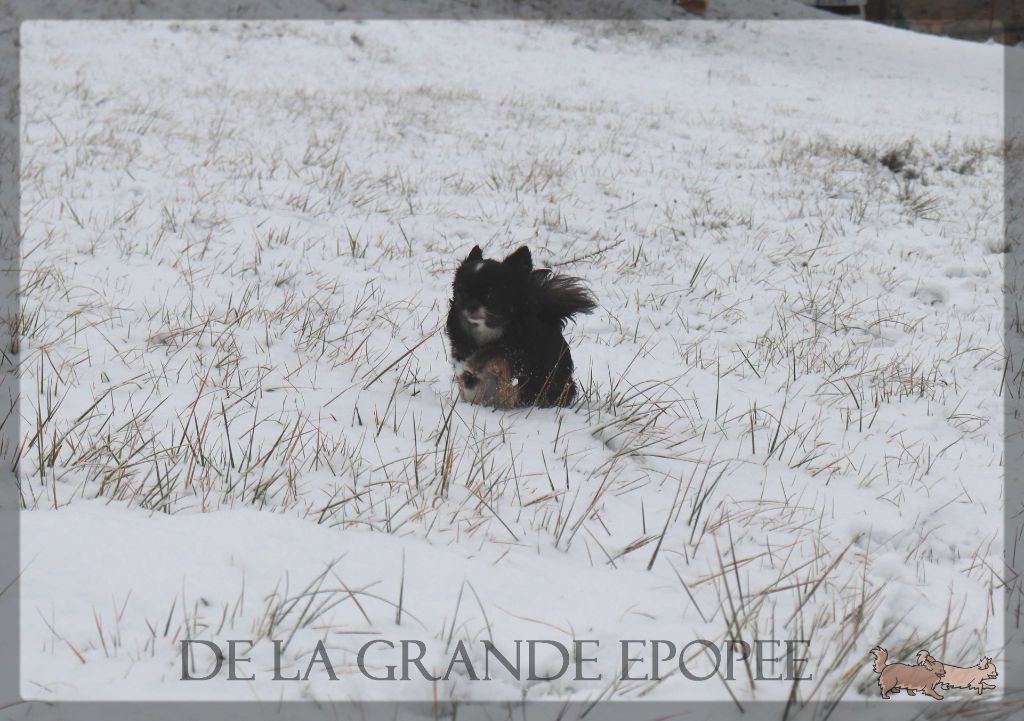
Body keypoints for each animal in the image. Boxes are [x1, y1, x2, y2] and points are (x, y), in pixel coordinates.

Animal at [444, 244, 598, 407]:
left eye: (490, 294)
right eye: (463, 292)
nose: (471, 305)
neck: (488, 331)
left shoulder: (517, 354)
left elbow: (492, 355)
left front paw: (472, 364)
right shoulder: (462, 346)